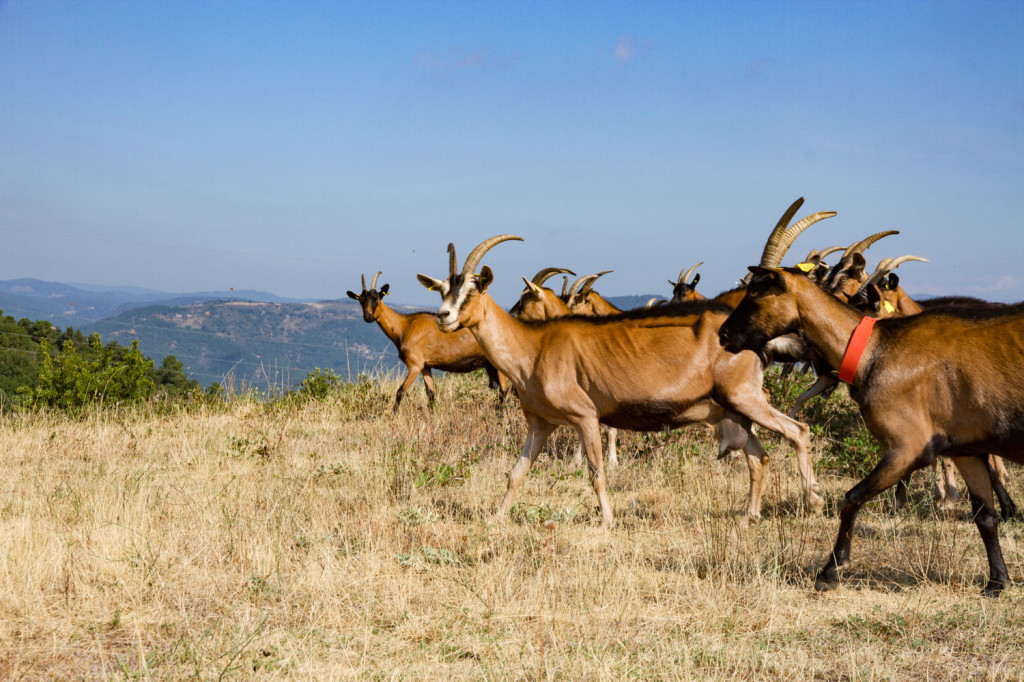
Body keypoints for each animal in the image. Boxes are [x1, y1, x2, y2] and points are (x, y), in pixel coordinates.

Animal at [346, 272, 509, 411]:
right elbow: (430, 394)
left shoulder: (414, 365)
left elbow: (400, 391)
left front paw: (393, 415)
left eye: (377, 298)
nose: (368, 317)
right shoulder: (425, 366)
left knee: (504, 389)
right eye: (361, 301)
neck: (404, 326)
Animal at [415, 236, 823, 528]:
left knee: (798, 430)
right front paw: (495, 518)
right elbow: (516, 474)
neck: (532, 348)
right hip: (732, 412)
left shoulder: (585, 417)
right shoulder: (541, 424)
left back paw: (814, 500)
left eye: (472, 290)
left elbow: (596, 473)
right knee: (759, 457)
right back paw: (748, 517)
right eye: (443, 291)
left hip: (744, 397)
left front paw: (608, 521)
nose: (443, 316)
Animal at [716, 266, 1024, 593]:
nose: (723, 334)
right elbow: (985, 516)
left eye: (755, 294)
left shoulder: (908, 447)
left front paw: (831, 570)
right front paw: (997, 582)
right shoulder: (968, 449)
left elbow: (852, 498)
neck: (873, 350)